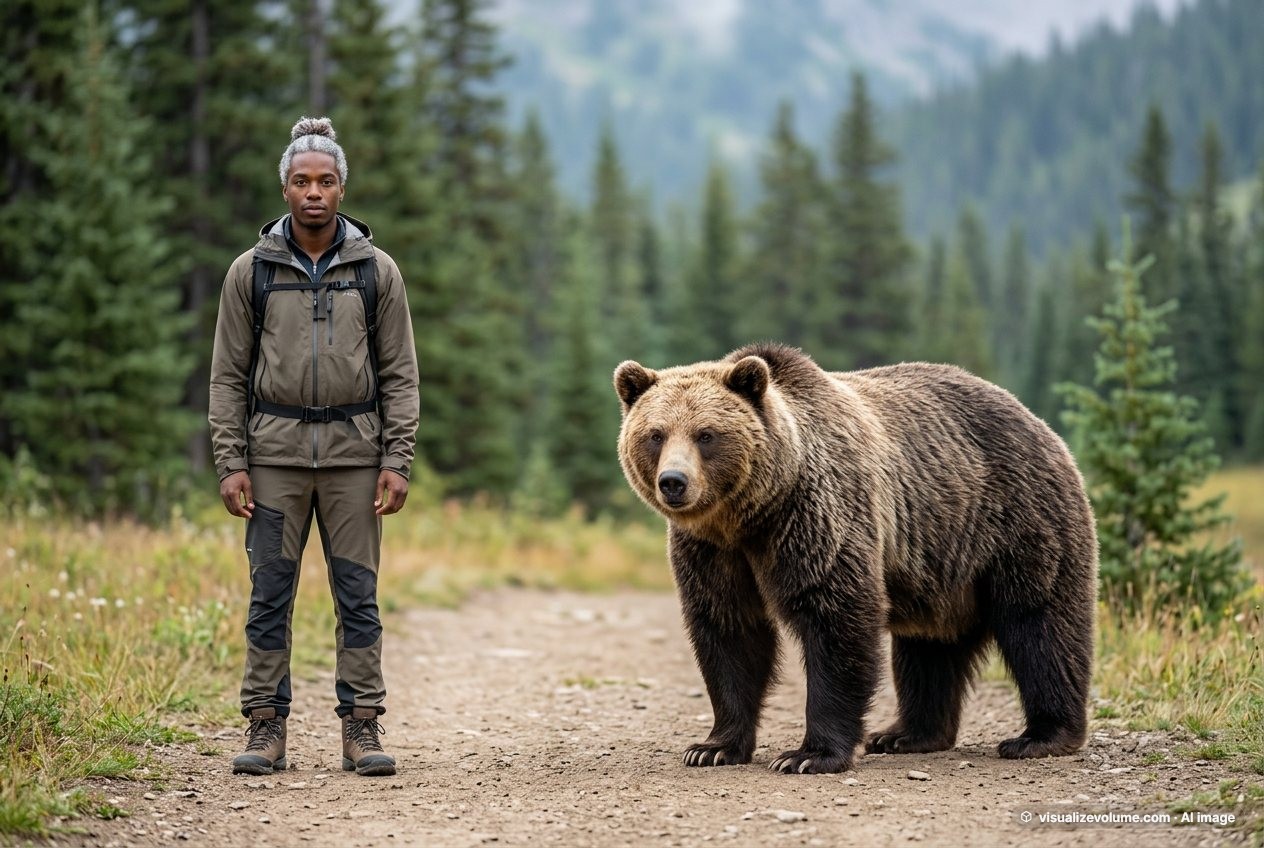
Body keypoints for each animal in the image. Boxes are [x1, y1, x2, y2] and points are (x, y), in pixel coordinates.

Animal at [614, 342, 1097, 774]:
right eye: (655, 434)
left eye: (706, 434)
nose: (674, 482)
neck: (749, 518)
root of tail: (1038, 421)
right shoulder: (711, 552)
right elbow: (729, 631)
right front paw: (712, 748)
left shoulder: (817, 518)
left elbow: (836, 618)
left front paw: (808, 755)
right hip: (939, 567)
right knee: (929, 648)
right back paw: (907, 734)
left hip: (1018, 523)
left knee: (1041, 625)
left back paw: (1040, 736)